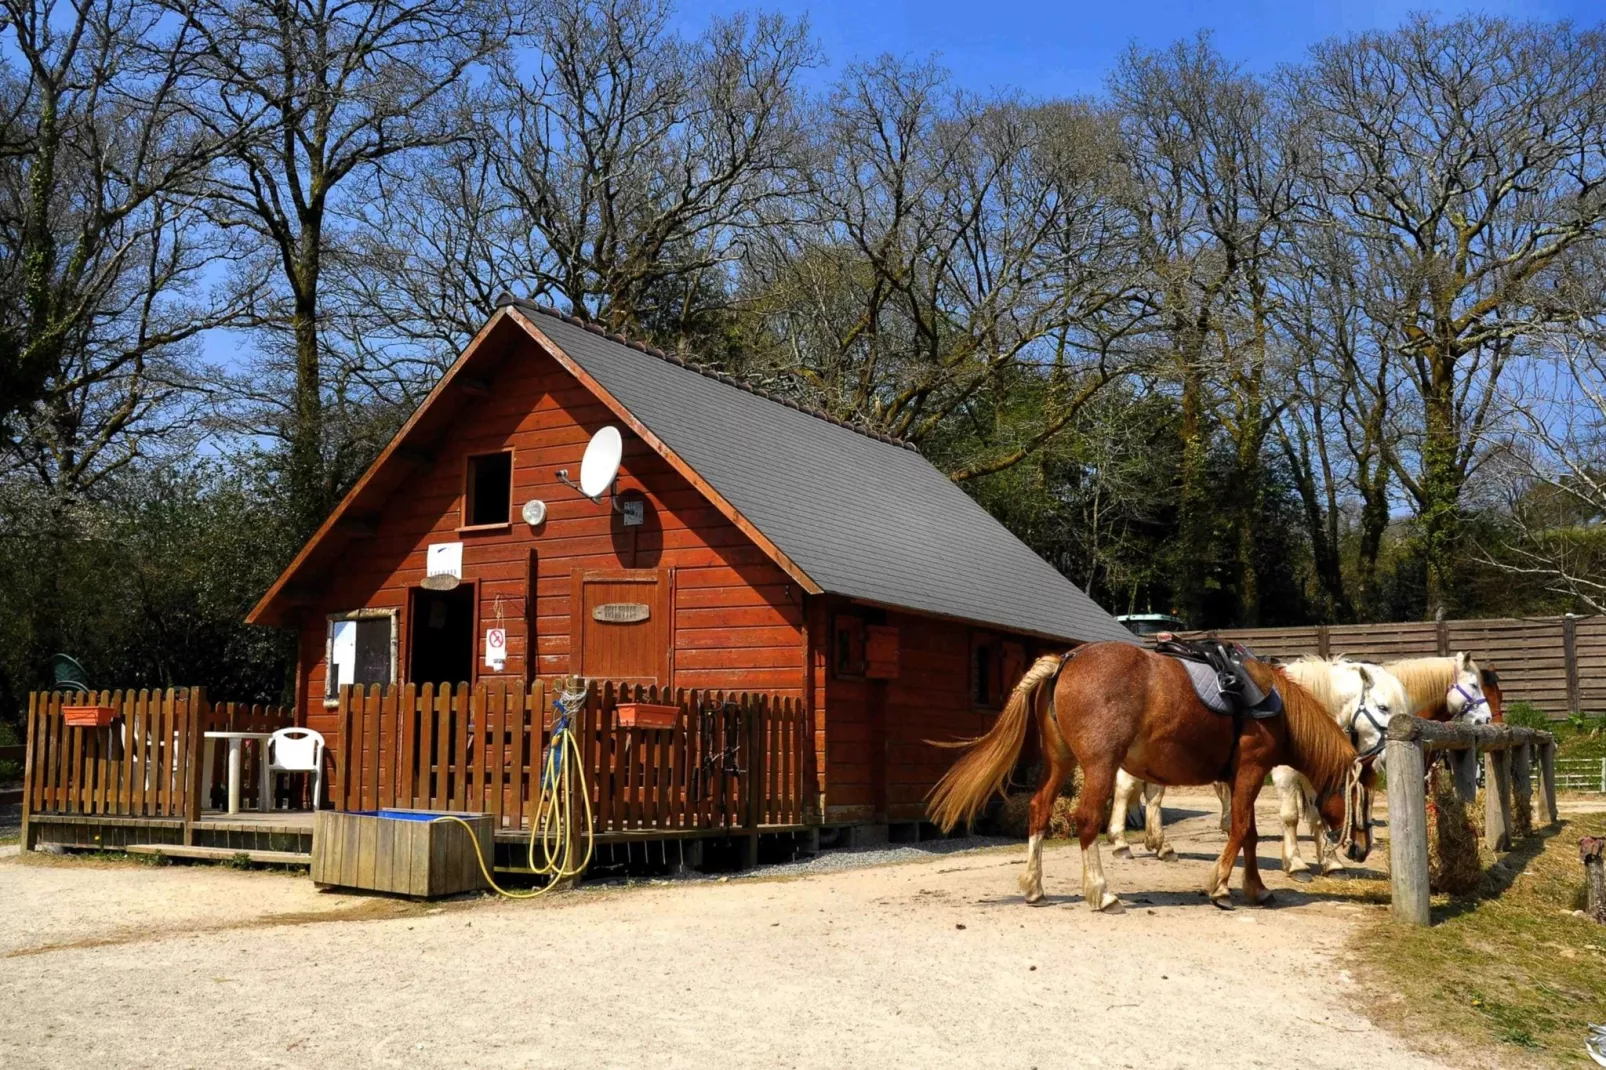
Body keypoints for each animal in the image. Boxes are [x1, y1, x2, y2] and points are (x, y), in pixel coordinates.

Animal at [931, 636, 1368, 912]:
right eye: (1359, 795)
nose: (1361, 848)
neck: (1274, 706)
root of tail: (1065, 663)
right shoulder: (1251, 771)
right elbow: (1244, 829)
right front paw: (1221, 888)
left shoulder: (1238, 778)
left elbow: (1248, 833)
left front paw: (1256, 889)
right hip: (1099, 766)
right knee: (1087, 818)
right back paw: (1101, 892)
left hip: (1060, 763)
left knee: (1038, 809)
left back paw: (1035, 887)